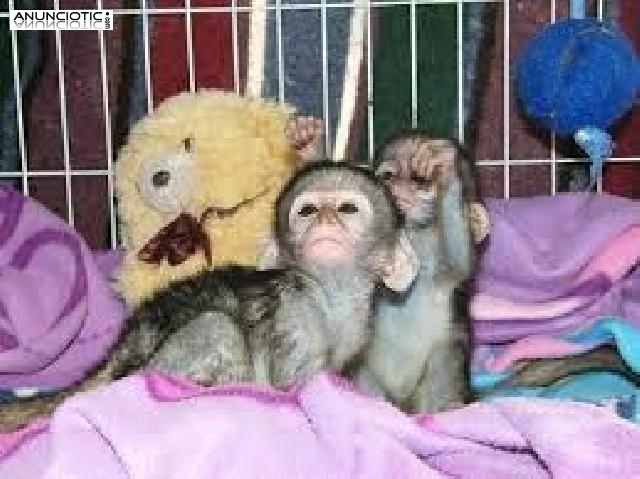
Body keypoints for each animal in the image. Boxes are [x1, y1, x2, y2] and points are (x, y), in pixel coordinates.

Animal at [0, 161, 418, 432]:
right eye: (308, 210)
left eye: (346, 208)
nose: (325, 220)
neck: (330, 294)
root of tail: (124, 348)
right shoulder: (297, 310)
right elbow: (297, 385)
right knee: (218, 325)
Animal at [351, 130, 480, 414]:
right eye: (388, 176)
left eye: (420, 180)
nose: (397, 187)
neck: (411, 232)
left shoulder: (444, 272)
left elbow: (460, 263)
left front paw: (445, 168)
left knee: (447, 354)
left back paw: (449, 407)